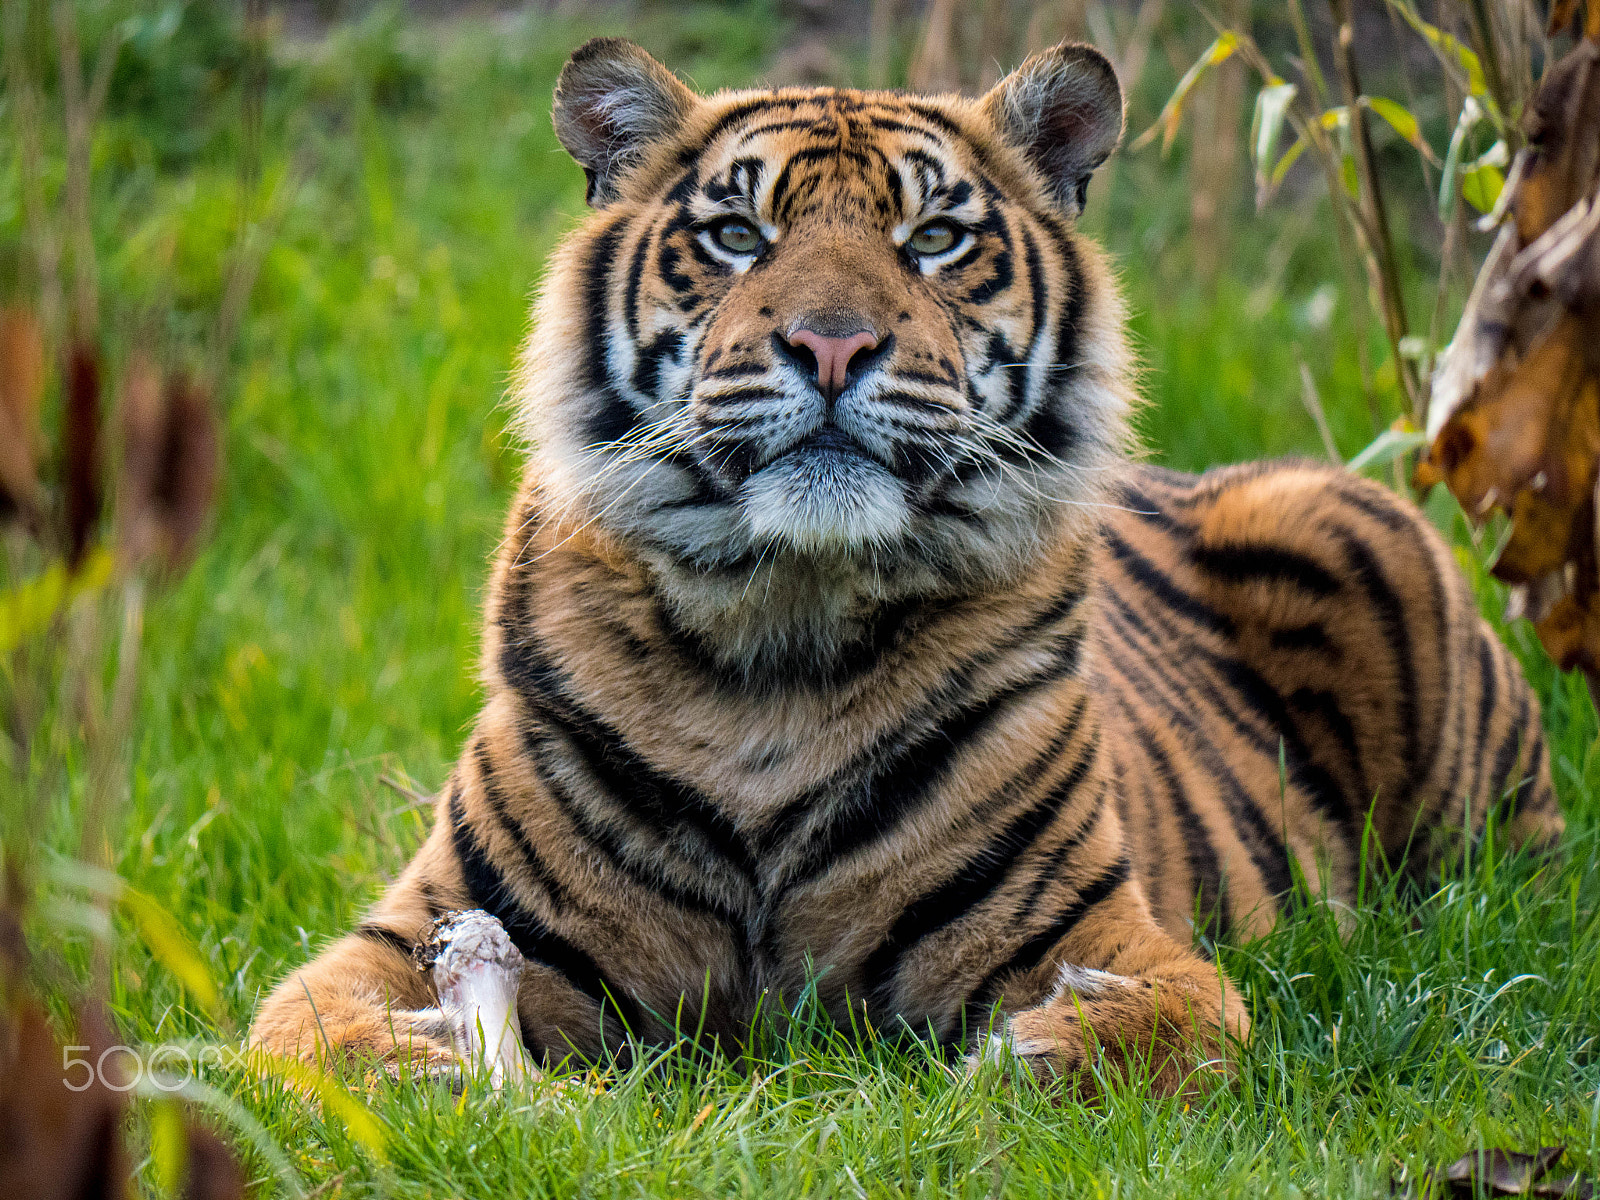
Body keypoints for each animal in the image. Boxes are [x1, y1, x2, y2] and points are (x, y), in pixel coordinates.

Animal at [251, 37, 1563, 1095]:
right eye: (737, 236)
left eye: (935, 239)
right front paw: (443, 1071)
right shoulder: (424, 919)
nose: (832, 344)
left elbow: (1179, 1030)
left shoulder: (1101, 928)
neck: (779, 635)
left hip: (1351, 543)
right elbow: (305, 1038)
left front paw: (1028, 1060)